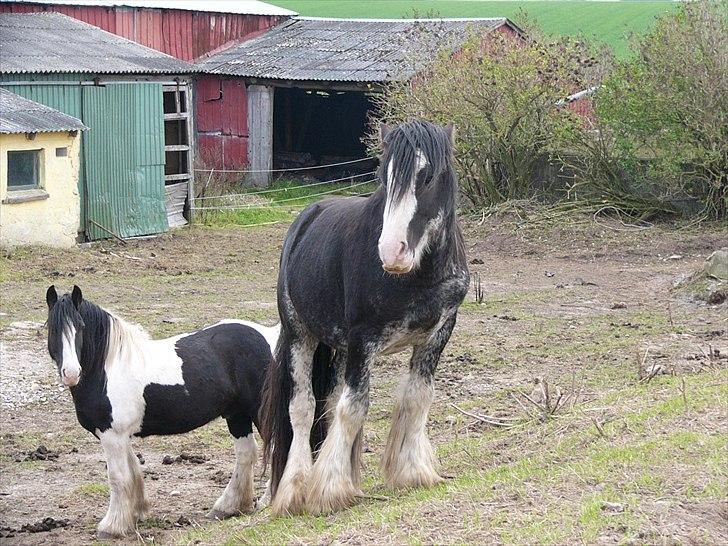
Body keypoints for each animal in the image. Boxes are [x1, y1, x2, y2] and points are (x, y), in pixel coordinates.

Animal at [44, 284, 278, 536]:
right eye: (51, 329)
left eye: (81, 327)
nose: (71, 373)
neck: (107, 369)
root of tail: (268, 337)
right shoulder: (122, 436)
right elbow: (133, 471)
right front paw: (135, 514)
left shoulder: (112, 435)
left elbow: (118, 477)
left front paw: (112, 526)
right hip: (237, 414)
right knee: (246, 454)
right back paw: (227, 507)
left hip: (260, 412)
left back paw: (269, 502)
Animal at [258, 119, 470, 516]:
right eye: (383, 176)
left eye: (428, 176)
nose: (391, 252)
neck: (419, 277)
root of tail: (308, 216)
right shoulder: (362, 340)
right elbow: (354, 408)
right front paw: (329, 490)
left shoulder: (437, 335)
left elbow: (418, 397)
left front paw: (412, 472)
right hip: (300, 335)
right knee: (303, 408)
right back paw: (293, 490)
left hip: (339, 348)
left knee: (328, 404)